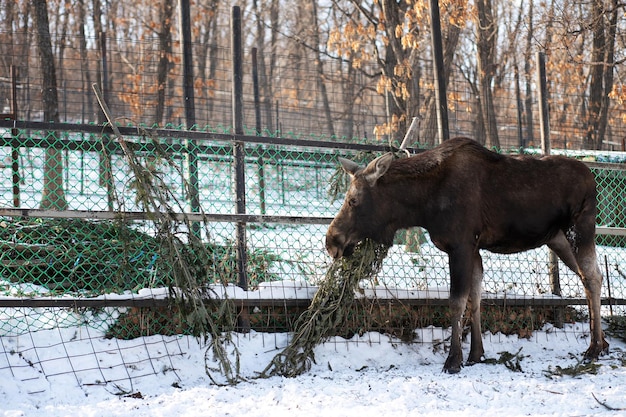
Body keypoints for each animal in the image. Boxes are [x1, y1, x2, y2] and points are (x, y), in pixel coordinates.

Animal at [324, 136, 608, 374]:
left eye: (353, 200)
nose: (331, 241)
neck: (421, 206)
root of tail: (592, 178)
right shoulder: (473, 250)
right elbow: (475, 297)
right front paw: (476, 354)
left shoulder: (460, 245)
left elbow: (457, 301)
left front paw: (453, 360)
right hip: (558, 239)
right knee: (591, 276)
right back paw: (601, 344)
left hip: (579, 229)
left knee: (592, 276)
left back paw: (594, 347)